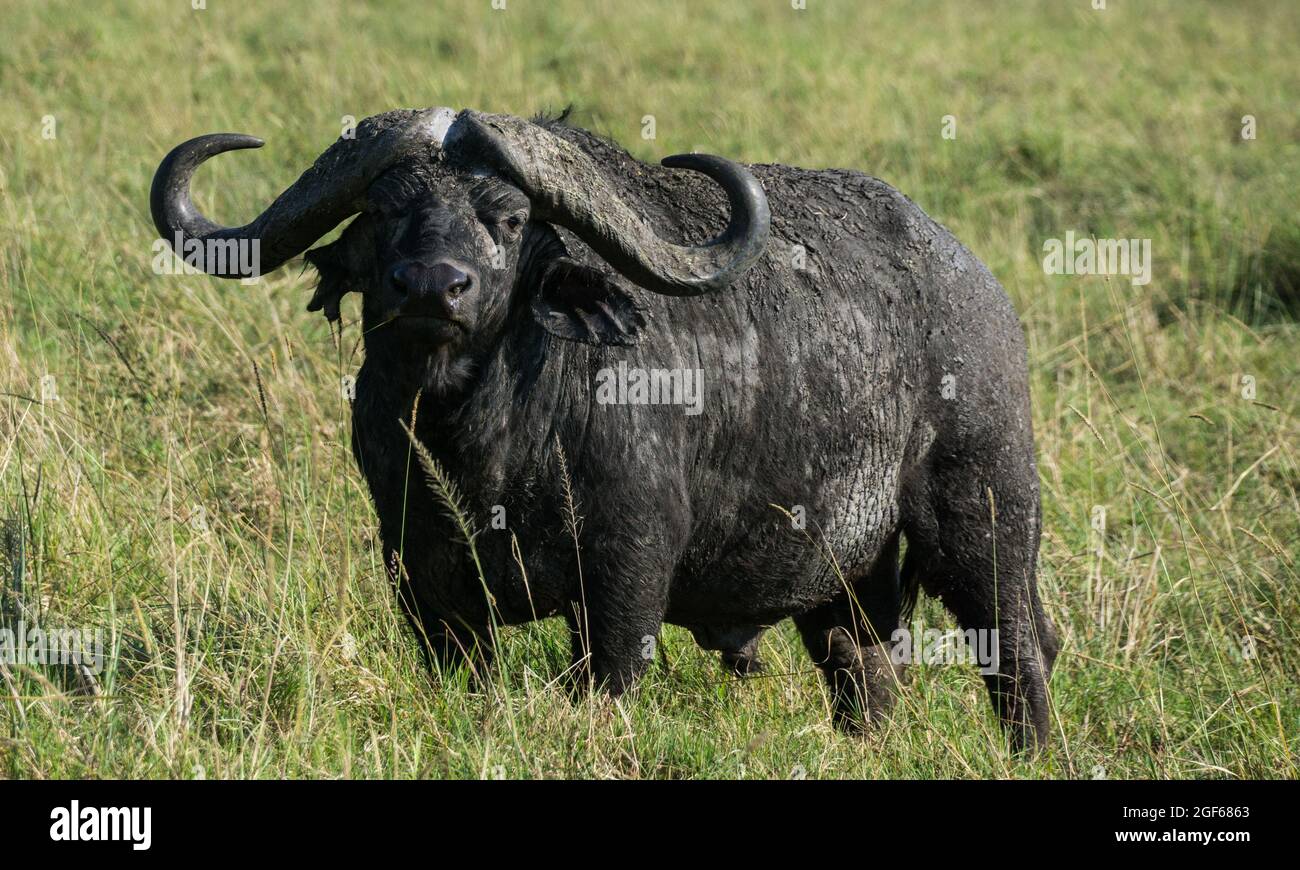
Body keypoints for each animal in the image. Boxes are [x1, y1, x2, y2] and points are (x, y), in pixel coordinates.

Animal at [151, 107, 1059, 750]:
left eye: (511, 219)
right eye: (382, 211)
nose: (434, 286)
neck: (485, 445)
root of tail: (979, 289)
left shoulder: (625, 587)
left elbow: (603, 680)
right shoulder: (425, 585)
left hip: (985, 520)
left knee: (1021, 649)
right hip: (844, 580)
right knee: (864, 672)